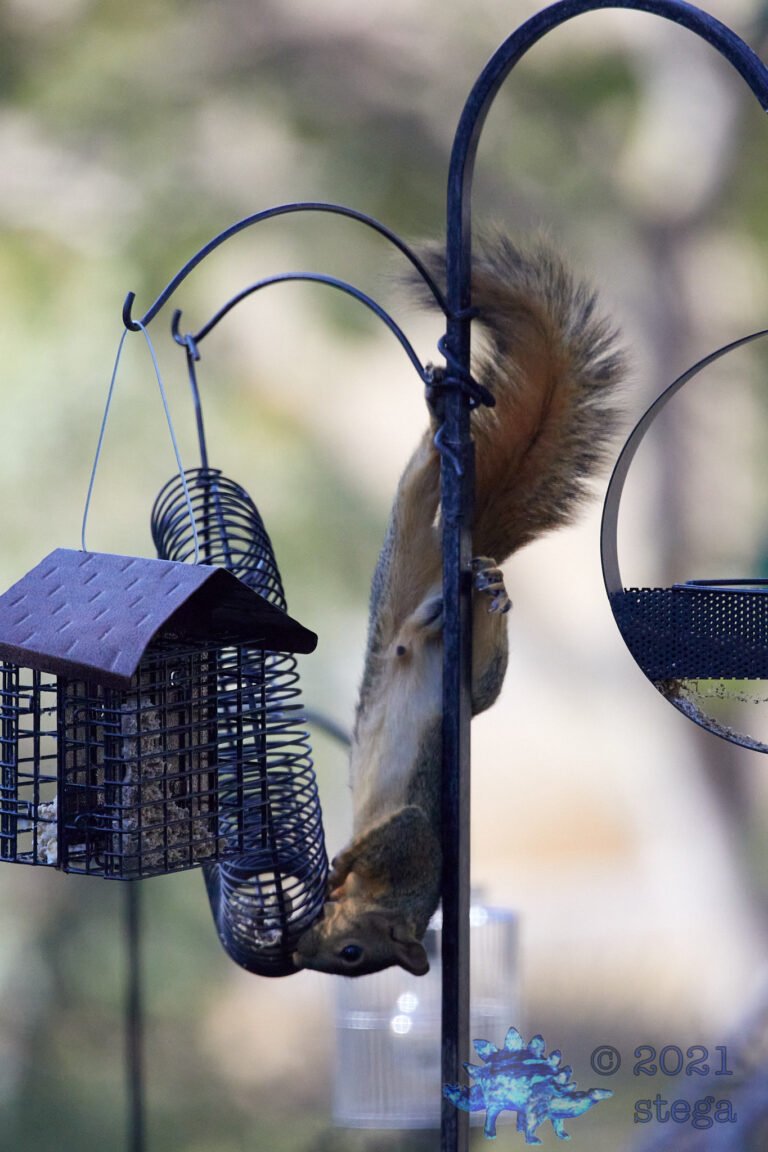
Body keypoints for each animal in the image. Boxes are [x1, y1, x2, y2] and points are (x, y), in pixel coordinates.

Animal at [294, 232, 625, 977]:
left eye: (351, 956)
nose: (300, 951)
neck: (402, 896)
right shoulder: (411, 842)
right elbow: (379, 842)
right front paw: (335, 868)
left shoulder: (413, 842)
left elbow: (387, 835)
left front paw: (335, 871)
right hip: (415, 549)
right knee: (423, 476)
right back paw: (441, 414)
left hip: (438, 632)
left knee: (475, 667)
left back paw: (489, 600)